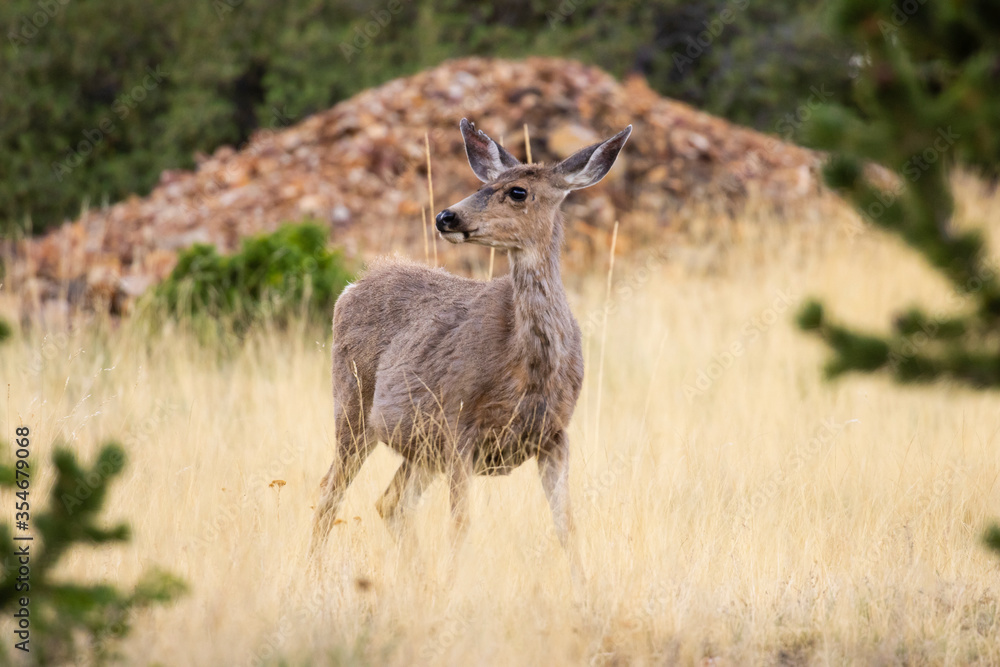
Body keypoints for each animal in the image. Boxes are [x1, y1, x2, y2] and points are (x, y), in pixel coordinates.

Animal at [309, 118, 631, 564]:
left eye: (517, 191)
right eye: (486, 182)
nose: (446, 216)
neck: (528, 371)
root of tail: (350, 287)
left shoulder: (554, 435)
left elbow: (567, 527)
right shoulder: (458, 425)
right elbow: (461, 526)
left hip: (418, 447)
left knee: (389, 502)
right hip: (353, 403)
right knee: (329, 492)